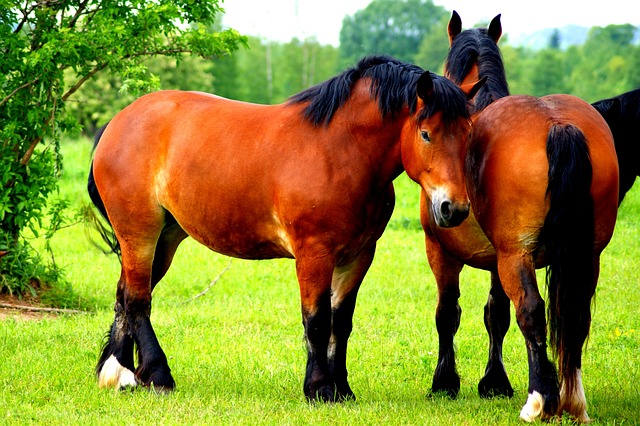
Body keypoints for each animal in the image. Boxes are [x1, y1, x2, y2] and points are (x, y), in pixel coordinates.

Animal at [87, 55, 482, 402]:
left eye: (468, 134)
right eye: (427, 134)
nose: (454, 208)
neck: (339, 151)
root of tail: (117, 123)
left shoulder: (357, 255)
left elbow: (341, 321)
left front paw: (343, 388)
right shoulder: (314, 254)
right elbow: (317, 320)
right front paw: (320, 388)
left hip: (165, 238)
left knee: (125, 294)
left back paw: (117, 373)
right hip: (140, 232)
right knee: (138, 300)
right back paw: (155, 375)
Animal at [420, 11, 620, 422]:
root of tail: (557, 123)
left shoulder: (443, 252)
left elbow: (448, 313)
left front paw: (445, 383)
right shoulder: (497, 260)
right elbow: (495, 314)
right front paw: (494, 382)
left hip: (518, 257)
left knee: (532, 311)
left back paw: (540, 400)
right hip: (586, 255)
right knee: (575, 315)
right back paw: (573, 400)